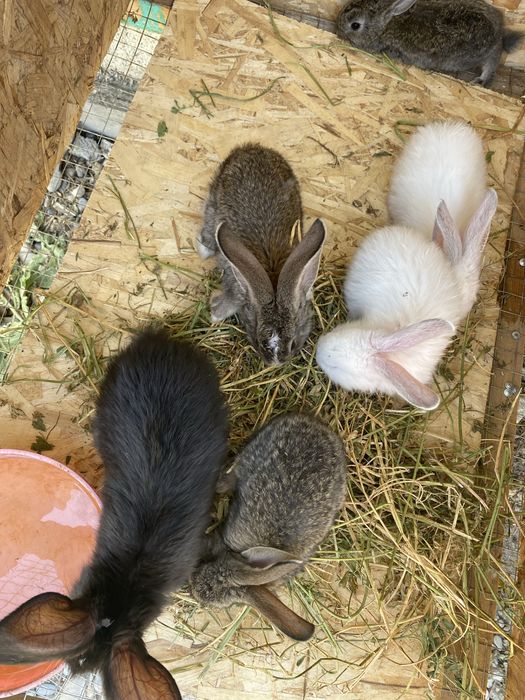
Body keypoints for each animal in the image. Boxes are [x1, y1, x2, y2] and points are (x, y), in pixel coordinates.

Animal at [197, 143, 326, 365]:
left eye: (292, 343)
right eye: (259, 341)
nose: (275, 363)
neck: (273, 275)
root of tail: (250, 148)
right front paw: (215, 313)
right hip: (215, 199)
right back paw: (204, 248)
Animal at [336, 0, 523, 86]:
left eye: (355, 25)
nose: (338, 26)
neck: (385, 26)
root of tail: (499, 33)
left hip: (479, 54)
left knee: (493, 60)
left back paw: (480, 80)